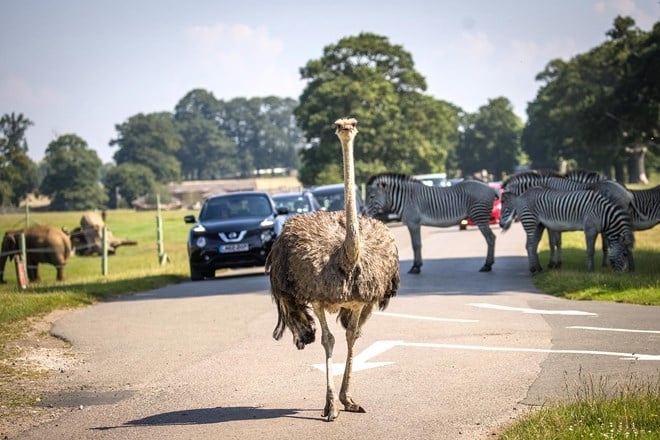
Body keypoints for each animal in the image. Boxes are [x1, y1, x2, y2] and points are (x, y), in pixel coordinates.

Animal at [364, 173, 498, 274]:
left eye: (372, 196)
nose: (363, 213)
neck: (406, 199)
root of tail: (491, 189)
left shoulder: (413, 223)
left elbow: (416, 245)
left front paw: (415, 267)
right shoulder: (414, 224)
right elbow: (417, 244)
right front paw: (417, 266)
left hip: (480, 216)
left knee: (491, 238)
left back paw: (487, 265)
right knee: (491, 238)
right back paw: (488, 264)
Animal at [500, 169, 636, 268]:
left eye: (503, 203)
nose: (500, 225)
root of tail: (627, 192)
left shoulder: (551, 223)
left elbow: (553, 243)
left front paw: (552, 263)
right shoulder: (555, 222)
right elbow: (558, 242)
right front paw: (558, 263)